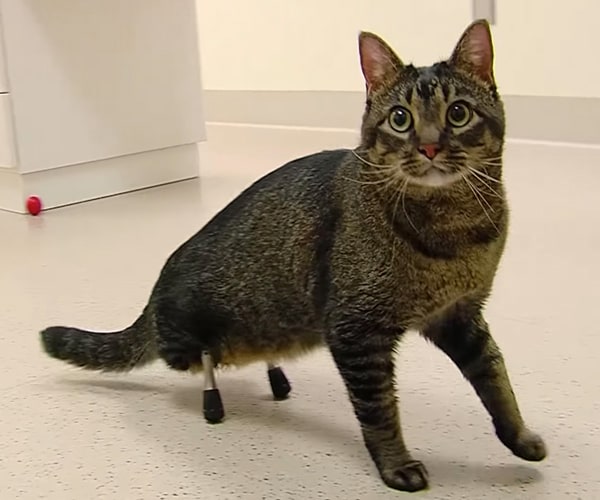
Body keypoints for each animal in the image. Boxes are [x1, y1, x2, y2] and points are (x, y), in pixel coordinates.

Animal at [40, 19, 546, 492]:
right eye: (400, 119)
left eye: (458, 112)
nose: (429, 146)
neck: (454, 230)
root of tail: (151, 299)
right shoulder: (356, 330)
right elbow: (380, 409)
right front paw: (396, 465)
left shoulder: (459, 316)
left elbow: (496, 379)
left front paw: (520, 437)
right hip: (194, 342)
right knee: (201, 361)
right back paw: (216, 389)